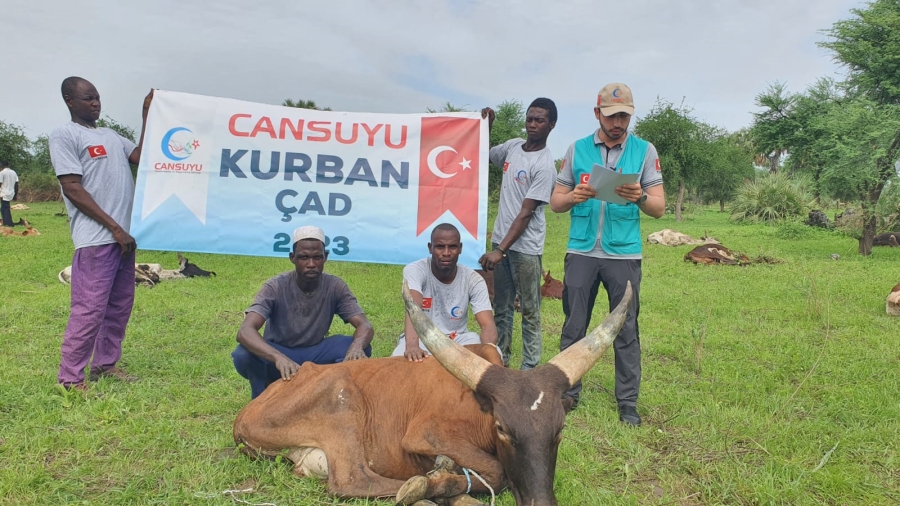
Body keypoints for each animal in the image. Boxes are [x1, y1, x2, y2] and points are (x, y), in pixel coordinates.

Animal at [232, 278, 632, 504]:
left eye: (559, 429)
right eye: (501, 428)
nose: (540, 503)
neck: (475, 407)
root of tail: (245, 415)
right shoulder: (425, 433)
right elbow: (496, 471)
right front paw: (441, 478)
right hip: (341, 395)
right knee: (352, 481)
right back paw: (422, 485)